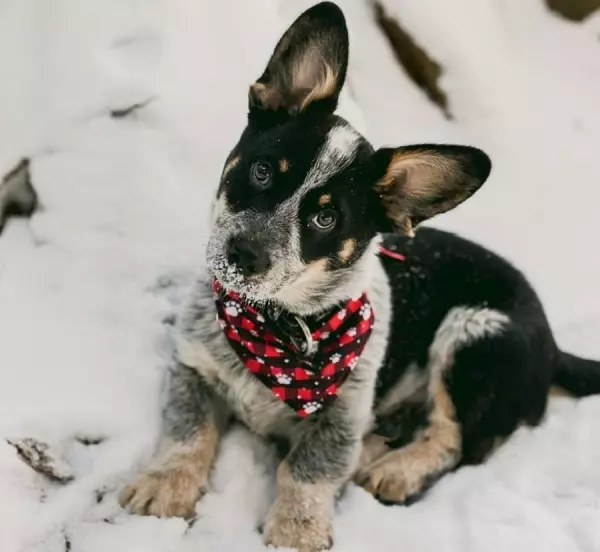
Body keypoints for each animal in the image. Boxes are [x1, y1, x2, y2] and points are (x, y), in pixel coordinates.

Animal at [119, 2, 600, 548]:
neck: (278, 325)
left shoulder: (342, 415)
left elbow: (308, 468)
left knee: (458, 441)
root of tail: (554, 344)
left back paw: (394, 468)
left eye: (326, 219)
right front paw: (165, 484)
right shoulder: (193, 367)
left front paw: (296, 531)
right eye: (262, 171)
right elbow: (188, 431)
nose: (243, 254)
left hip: (474, 331)